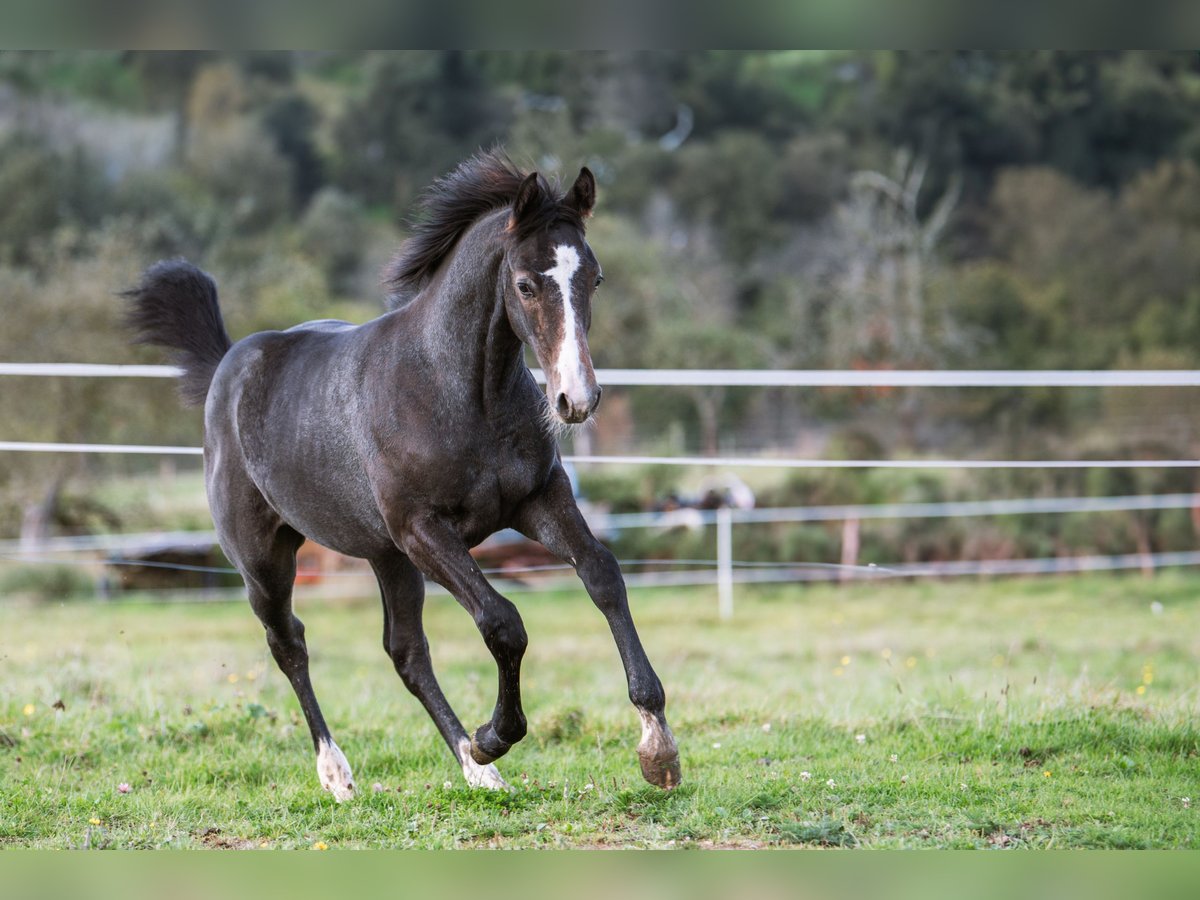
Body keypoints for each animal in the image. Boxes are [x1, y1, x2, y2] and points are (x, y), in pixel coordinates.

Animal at [126, 151, 681, 801]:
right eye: (524, 284)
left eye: (592, 279)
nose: (577, 399)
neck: (455, 390)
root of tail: (226, 365)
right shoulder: (424, 530)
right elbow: (503, 622)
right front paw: (495, 734)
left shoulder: (538, 501)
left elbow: (602, 576)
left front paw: (657, 746)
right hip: (265, 560)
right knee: (289, 643)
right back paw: (341, 773)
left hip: (385, 556)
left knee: (405, 653)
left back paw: (476, 769)